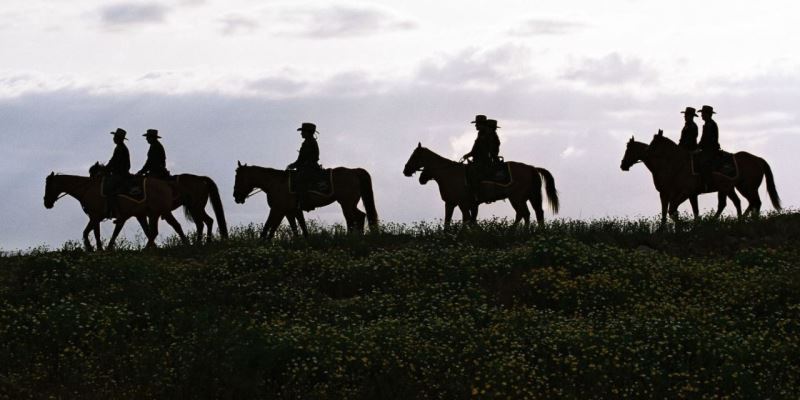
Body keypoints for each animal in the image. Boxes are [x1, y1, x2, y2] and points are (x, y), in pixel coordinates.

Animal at [43, 170, 178, 252]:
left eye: (48, 186)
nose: (46, 203)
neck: (87, 189)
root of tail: (166, 184)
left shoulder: (95, 216)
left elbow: (92, 233)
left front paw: (96, 249)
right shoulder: (96, 217)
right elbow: (89, 232)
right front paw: (93, 248)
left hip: (155, 213)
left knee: (155, 231)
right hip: (151, 213)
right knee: (159, 230)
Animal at [233, 162, 380, 241]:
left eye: (238, 178)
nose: (236, 197)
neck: (275, 183)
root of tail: (354, 171)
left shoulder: (277, 209)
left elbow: (270, 225)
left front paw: (263, 242)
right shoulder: (290, 211)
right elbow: (298, 227)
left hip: (346, 203)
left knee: (353, 219)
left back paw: (352, 237)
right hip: (349, 203)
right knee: (358, 217)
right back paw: (357, 236)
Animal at [404, 142, 560, 227]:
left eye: (414, 156)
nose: (405, 170)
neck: (449, 174)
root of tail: (532, 168)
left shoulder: (462, 203)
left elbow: (467, 220)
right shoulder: (451, 203)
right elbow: (450, 221)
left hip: (516, 198)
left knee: (524, 214)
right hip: (530, 197)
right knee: (535, 213)